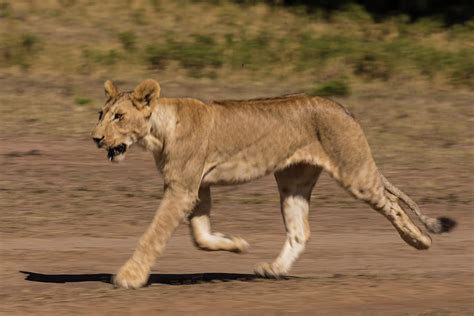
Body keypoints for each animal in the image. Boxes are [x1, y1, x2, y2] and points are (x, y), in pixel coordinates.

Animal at [90, 79, 458, 288]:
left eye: (119, 116)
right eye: (100, 114)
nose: (95, 139)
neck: (157, 131)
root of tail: (342, 106)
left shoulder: (181, 188)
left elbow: (153, 235)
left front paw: (129, 277)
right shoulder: (197, 187)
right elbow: (200, 236)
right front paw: (236, 243)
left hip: (356, 173)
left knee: (391, 203)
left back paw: (419, 240)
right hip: (292, 181)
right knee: (300, 231)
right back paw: (274, 269)